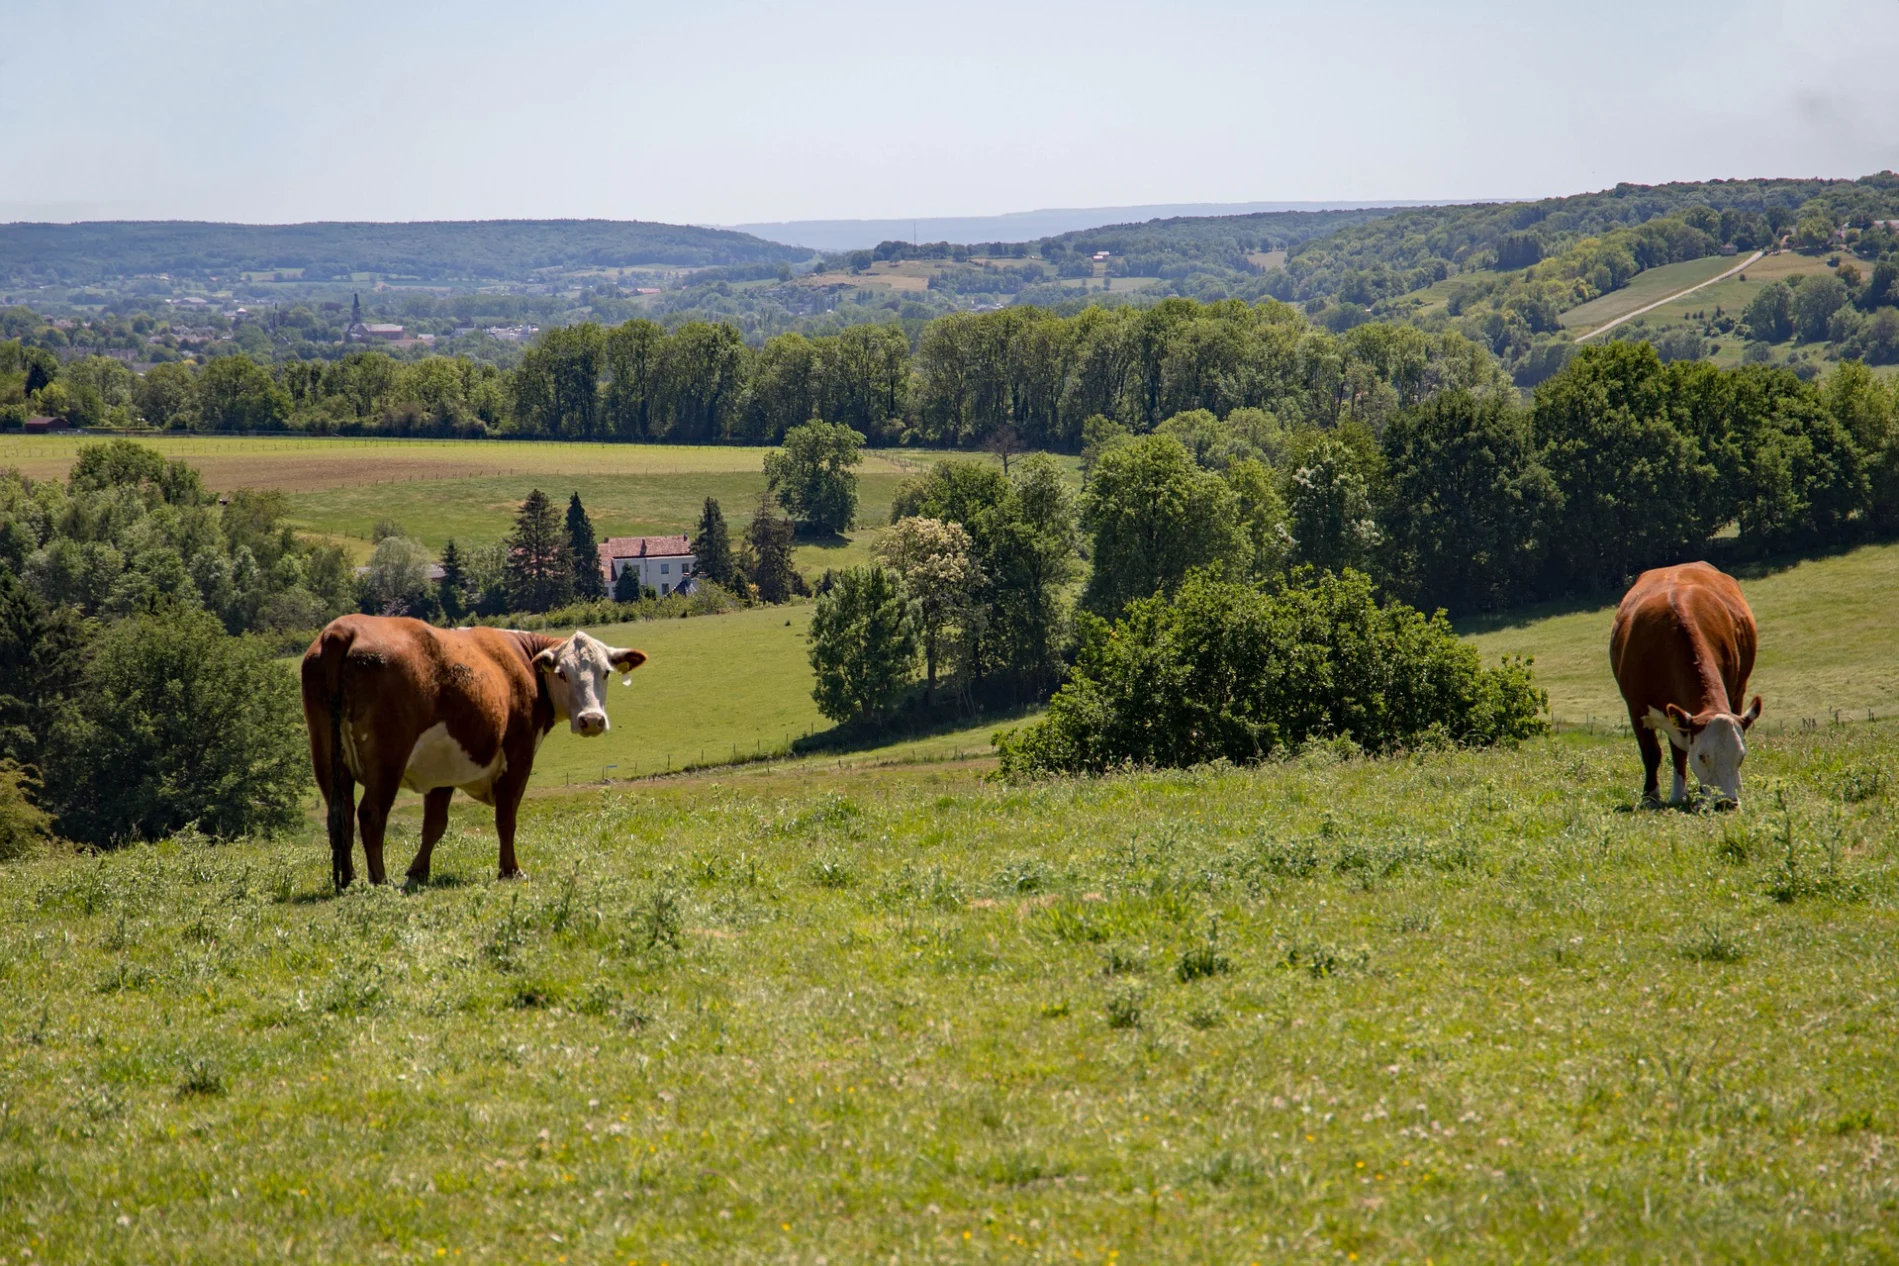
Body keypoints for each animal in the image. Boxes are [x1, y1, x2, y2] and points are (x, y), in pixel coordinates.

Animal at [300, 618, 645, 888]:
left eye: (605, 672)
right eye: (562, 673)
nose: (592, 719)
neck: (522, 662)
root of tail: (342, 629)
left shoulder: (441, 768)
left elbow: (434, 825)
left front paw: (418, 872)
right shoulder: (518, 755)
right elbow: (506, 818)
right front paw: (510, 870)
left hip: (327, 757)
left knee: (340, 814)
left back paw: (348, 880)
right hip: (387, 759)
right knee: (371, 814)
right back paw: (380, 880)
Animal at [1617, 565, 1762, 812]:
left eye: (1741, 756)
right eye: (1703, 756)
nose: (1726, 803)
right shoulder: (1636, 709)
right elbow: (1651, 753)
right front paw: (1650, 797)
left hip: (1738, 692)